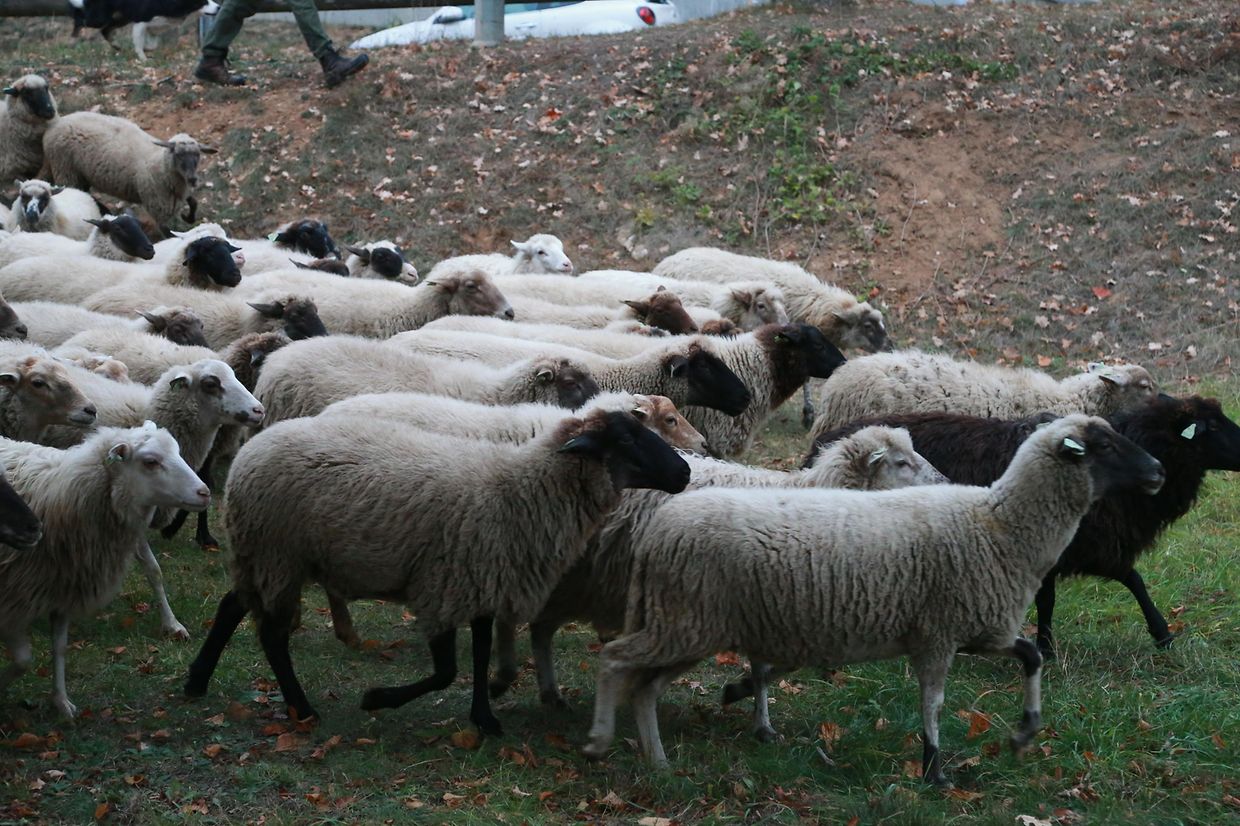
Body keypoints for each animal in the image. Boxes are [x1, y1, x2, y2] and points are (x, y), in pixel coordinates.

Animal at [0, 422, 209, 718]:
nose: (205, 492)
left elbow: (59, 647)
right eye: (150, 462)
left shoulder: (62, 586)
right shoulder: (13, 597)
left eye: (178, 451)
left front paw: (60, 701)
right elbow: (22, 660)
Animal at [41, 111, 217, 230]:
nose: (193, 179)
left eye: (198, 155)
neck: (161, 165)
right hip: (66, 170)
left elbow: (193, 202)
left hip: (78, 173)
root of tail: (53, 126)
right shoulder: (159, 208)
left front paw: (188, 217)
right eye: (178, 154)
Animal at [490, 425, 945, 710]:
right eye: (901, 463)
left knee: (541, 628)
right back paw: (510, 682)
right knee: (521, 621)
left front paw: (752, 704)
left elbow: (772, 665)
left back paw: (550, 694)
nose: (944, 481)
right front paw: (742, 693)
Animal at [582, 416, 1166, 779]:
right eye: (1104, 446)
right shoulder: (931, 628)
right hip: (685, 617)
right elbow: (932, 701)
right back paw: (601, 735)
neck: (997, 522)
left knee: (641, 677)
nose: (1158, 470)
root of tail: (660, 531)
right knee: (617, 662)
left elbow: (1031, 655)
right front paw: (934, 770)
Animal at [809, 394, 1240, 658]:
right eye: (1212, 427)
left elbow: (1130, 580)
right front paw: (1048, 648)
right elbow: (1114, 584)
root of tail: (825, 445)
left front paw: (1162, 634)